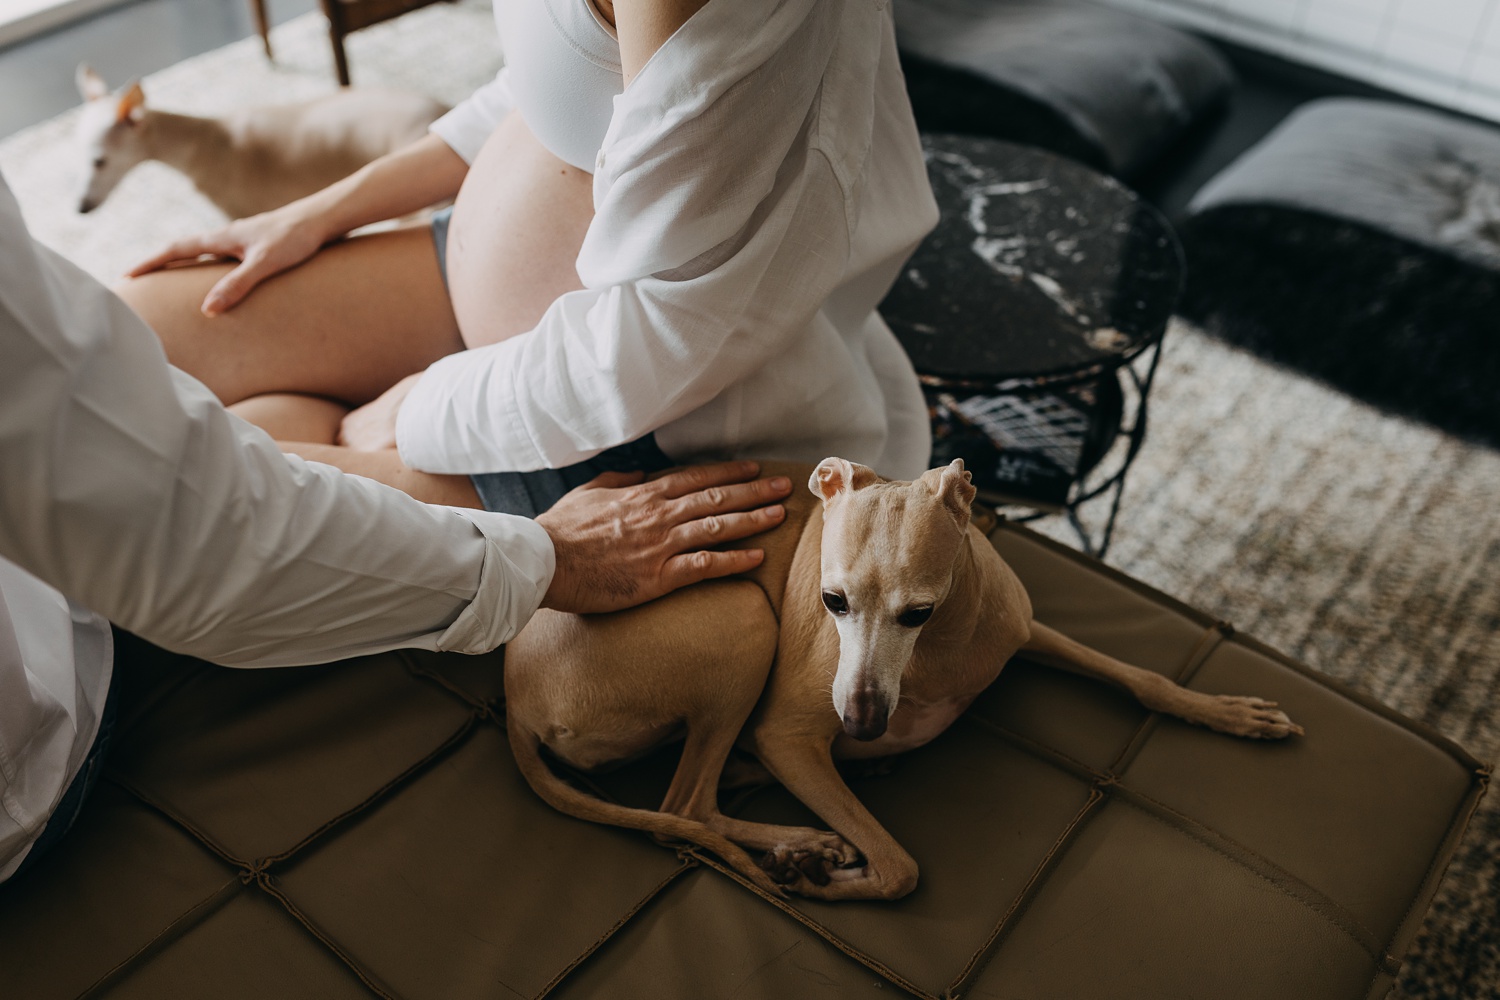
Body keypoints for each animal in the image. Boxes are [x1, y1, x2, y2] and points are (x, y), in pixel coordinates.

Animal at [504, 461, 1302, 899]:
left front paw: (1229, 712)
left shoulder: (1028, 631)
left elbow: (1141, 678)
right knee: (687, 805)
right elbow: (899, 867)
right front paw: (821, 878)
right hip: (740, 619)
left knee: (699, 796)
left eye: (919, 610)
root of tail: (511, 696)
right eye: (831, 601)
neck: (938, 651)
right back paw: (805, 841)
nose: (860, 724)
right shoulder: (790, 733)